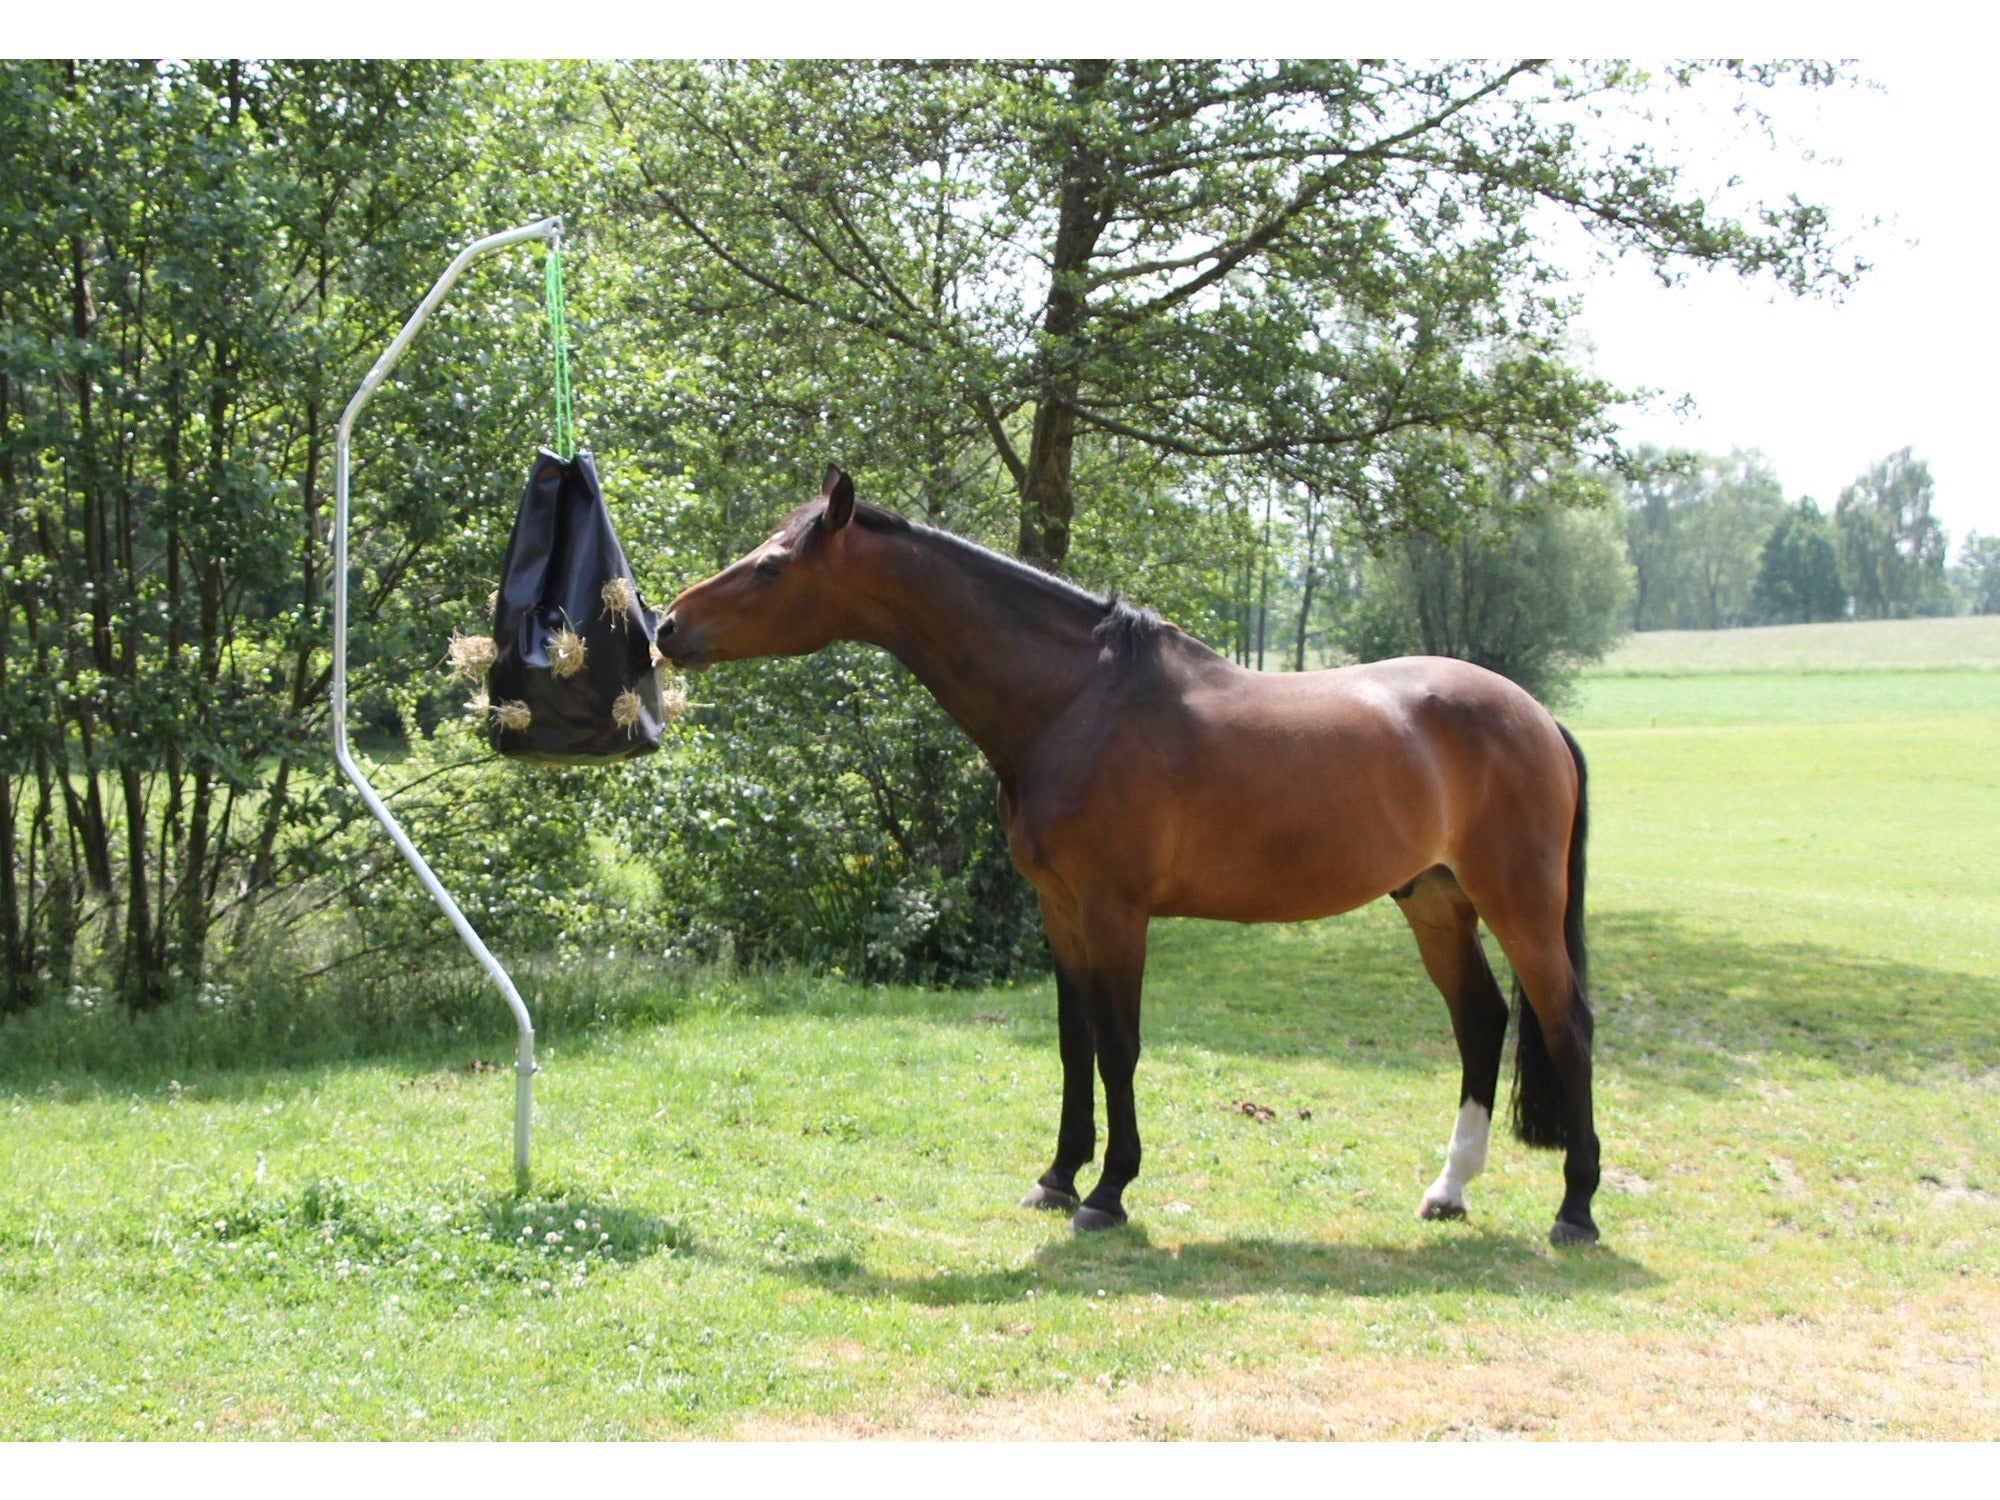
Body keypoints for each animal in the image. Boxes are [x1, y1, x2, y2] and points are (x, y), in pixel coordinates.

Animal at [658, 464, 1601, 1247]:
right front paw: (1057, 1178)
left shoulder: (1118, 911)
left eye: (774, 566)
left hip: (1519, 906)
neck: (1077, 702)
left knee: (1567, 1024)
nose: (667, 626)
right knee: (1481, 1021)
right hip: (1435, 900)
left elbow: (1118, 1044)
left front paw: (1108, 1194)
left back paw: (1576, 1210)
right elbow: (1075, 1043)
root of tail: (1538, 718)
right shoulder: (1060, 908)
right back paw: (1450, 1191)